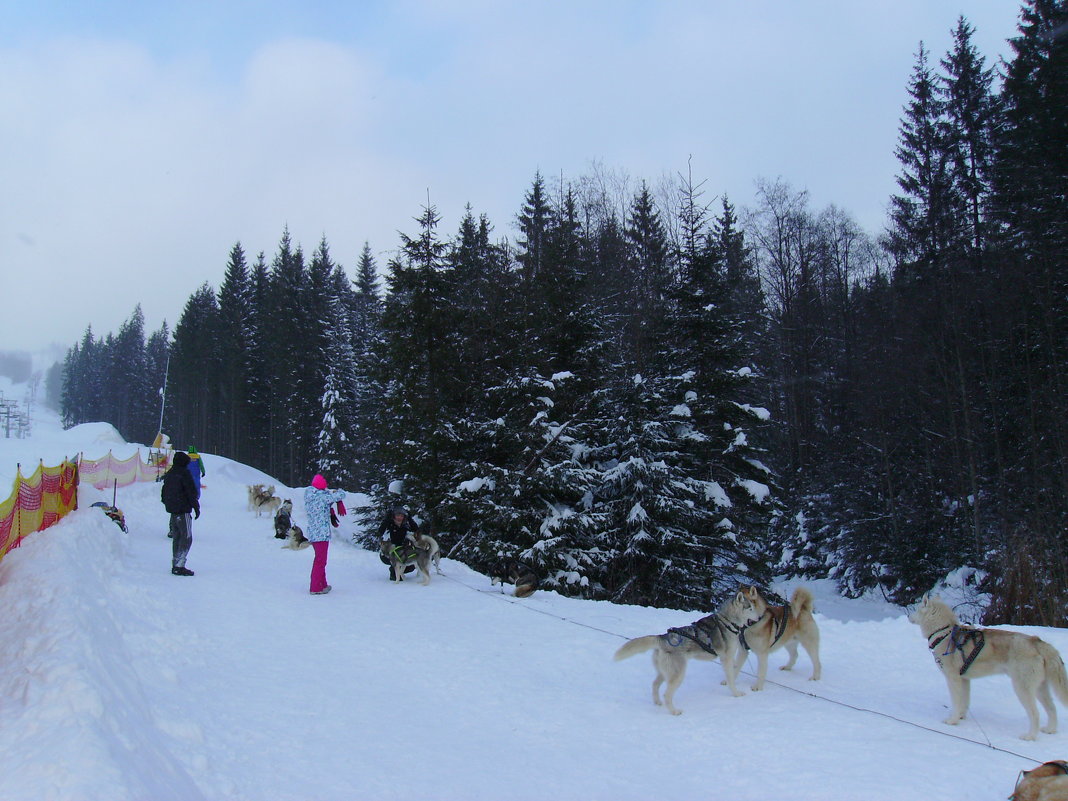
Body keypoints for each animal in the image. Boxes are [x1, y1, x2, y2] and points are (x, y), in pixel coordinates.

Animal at [615, 589, 764, 713]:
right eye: (750, 608)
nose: (759, 618)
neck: (727, 621)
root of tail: (662, 637)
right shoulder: (726, 658)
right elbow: (731, 679)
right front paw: (736, 693)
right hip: (678, 674)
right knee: (667, 694)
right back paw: (674, 711)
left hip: (664, 672)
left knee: (655, 685)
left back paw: (657, 702)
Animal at [909, 598, 1068, 739]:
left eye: (916, 608)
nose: (908, 616)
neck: (944, 632)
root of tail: (1037, 642)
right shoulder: (964, 679)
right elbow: (964, 702)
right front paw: (960, 717)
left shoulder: (953, 679)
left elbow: (956, 702)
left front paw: (952, 721)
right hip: (1040, 688)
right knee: (1052, 708)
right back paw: (1050, 730)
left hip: (1022, 688)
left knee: (1035, 714)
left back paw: (1030, 736)